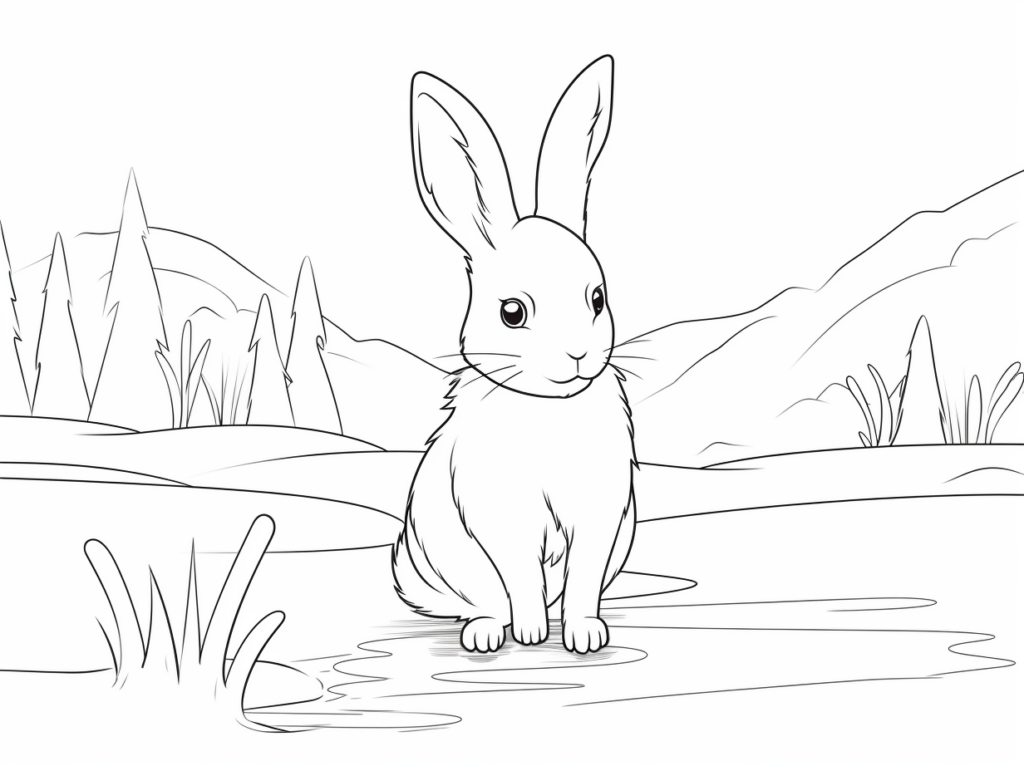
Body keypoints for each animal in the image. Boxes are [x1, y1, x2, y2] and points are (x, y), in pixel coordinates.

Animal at [392, 55, 636, 654]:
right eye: (512, 313)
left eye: (598, 299)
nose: (577, 356)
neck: (546, 409)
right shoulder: (501, 518)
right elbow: (519, 575)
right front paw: (529, 634)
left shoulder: (600, 515)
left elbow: (583, 578)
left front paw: (584, 635)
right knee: (483, 600)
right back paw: (487, 633)